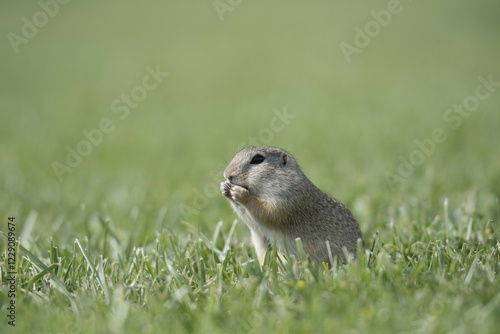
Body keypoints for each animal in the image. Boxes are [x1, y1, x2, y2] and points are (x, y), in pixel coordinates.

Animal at [221, 146, 362, 266]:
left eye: (257, 159)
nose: (227, 174)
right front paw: (224, 187)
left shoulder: (287, 199)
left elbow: (267, 212)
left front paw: (241, 193)